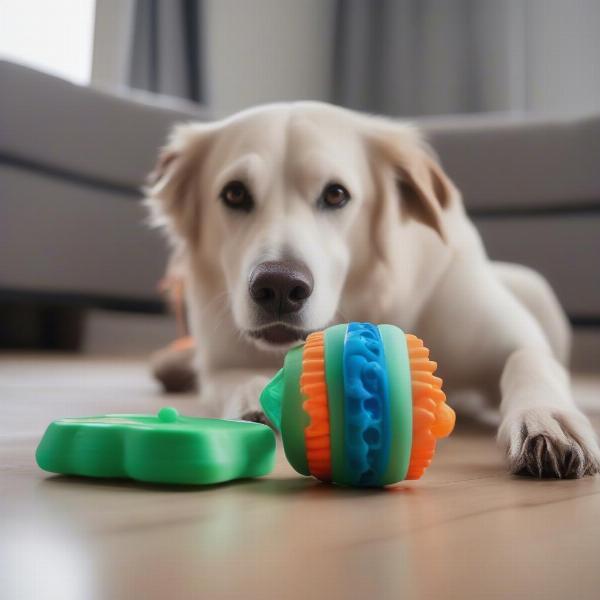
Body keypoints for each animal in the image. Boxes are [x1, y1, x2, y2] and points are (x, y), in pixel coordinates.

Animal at [145, 102, 600, 478]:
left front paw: (546, 419)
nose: (278, 285)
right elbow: (234, 379)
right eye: (235, 193)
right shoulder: (222, 359)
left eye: (336, 194)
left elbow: (528, 361)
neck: (371, 301)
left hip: (533, 287)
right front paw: (258, 402)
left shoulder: (512, 340)